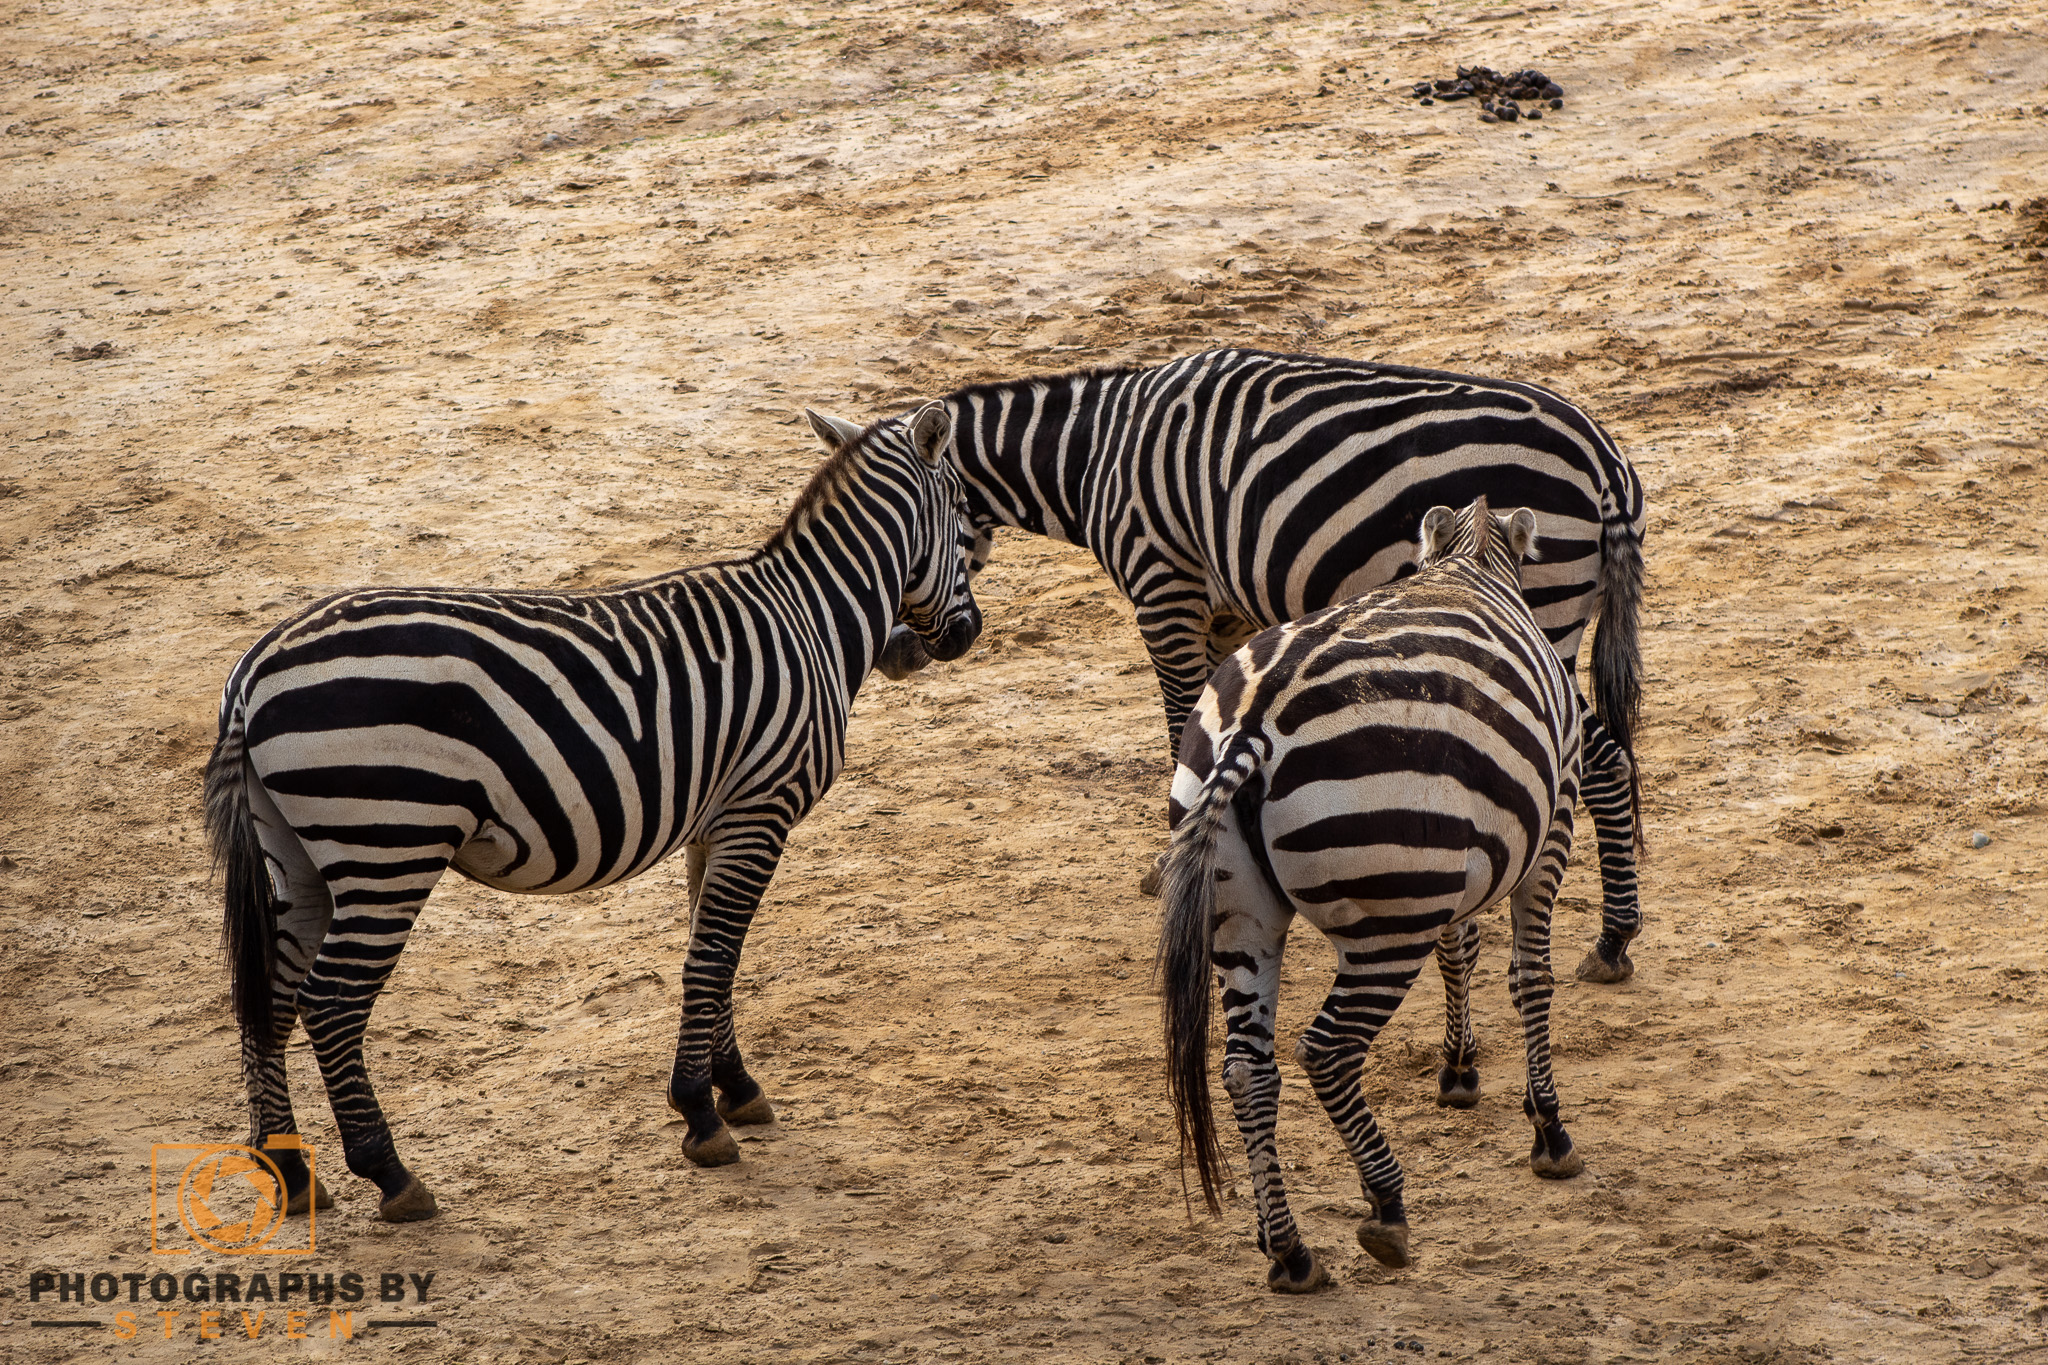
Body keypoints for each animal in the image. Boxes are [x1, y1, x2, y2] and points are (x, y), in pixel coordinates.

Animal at [203, 403, 980, 1223]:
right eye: (965, 515)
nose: (963, 637)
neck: (813, 615)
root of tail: (252, 672)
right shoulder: (759, 811)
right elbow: (717, 956)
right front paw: (700, 1114)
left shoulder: (717, 821)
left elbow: (710, 952)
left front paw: (733, 1088)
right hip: (387, 844)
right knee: (330, 1002)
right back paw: (390, 1174)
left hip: (301, 852)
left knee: (270, 995)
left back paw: (292, 1173)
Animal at [804, 347, 1645, 982]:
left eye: (908, 537)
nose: (897, 655)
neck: (1093, 455)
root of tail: (1605, 456)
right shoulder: (1224, 607)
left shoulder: (1163, 587)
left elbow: (1182, 719)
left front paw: (1172, 861)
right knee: (1607, 757)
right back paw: (1609, 932)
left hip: (1544, 620)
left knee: (1602, 759)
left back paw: (1611, 940)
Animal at [1158, 496, 1583, 1293]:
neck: (1470, 560)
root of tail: (1254, 721)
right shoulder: (1552, 825)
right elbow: (1531, 977)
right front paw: (1549, 1129)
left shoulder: (1458, 846)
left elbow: (1460, 946)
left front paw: (1459, 1068)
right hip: (1387, 923)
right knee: (1326, 1051)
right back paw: (1386, 1206)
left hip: (1240, 912)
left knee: (1247, 1069)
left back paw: (1288, 1248)